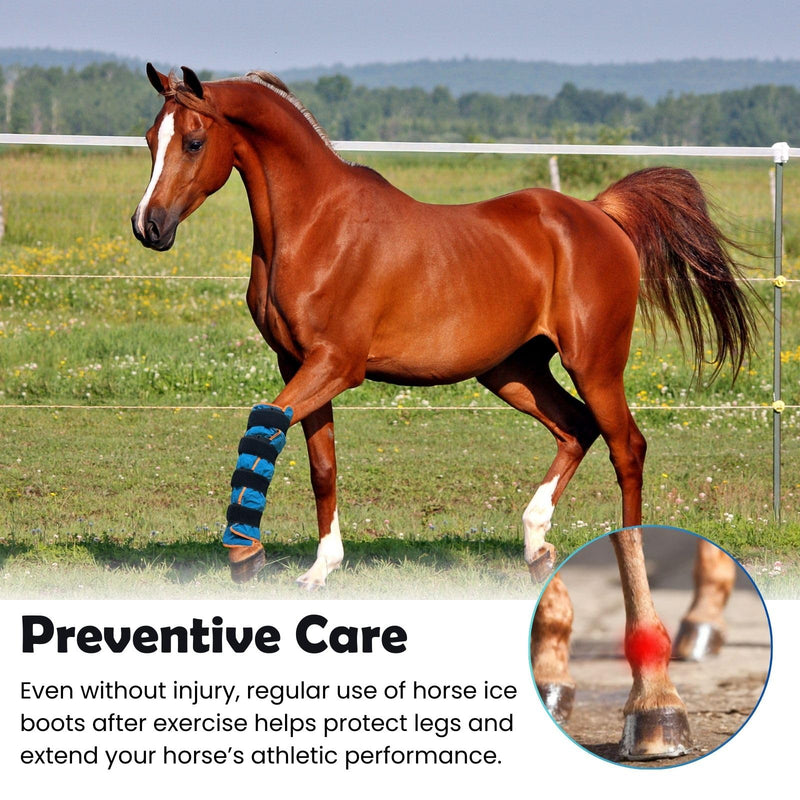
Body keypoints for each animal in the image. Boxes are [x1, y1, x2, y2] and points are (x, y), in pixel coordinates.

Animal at [131, 65, 756, 760]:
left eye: (192, 141)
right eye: (150, 138)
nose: (148, 226)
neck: (317, 226)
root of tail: (598, 215)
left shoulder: (334, 365)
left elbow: (263, 422)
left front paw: (245, 554)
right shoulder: (298, 365)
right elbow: (319, 465)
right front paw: (320, 569)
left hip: (594, 365)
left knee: (627, 447)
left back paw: (650, 686)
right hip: (513, 370)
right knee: (577, 428)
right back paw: (537, 545)